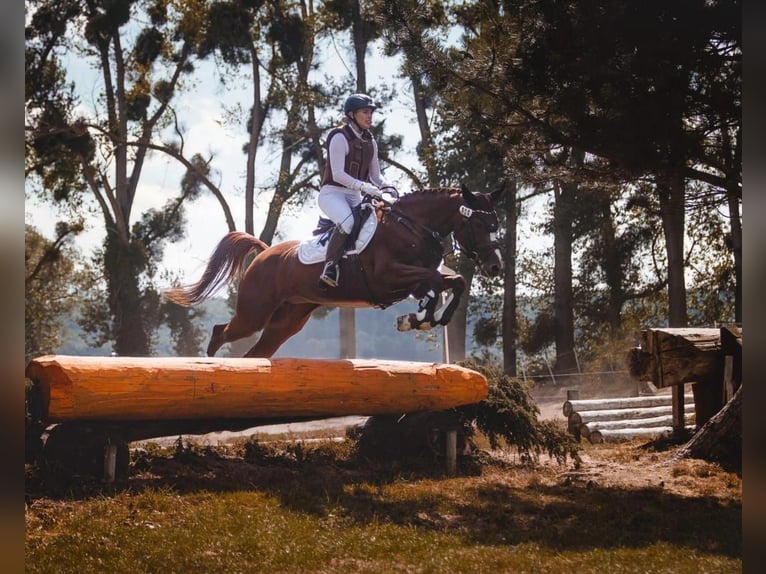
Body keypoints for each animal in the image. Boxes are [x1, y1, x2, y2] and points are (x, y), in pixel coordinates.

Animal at [164, 186, 504, 358]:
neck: (411, 226)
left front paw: (420, 318)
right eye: (478, 223)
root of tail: (264, 253)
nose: (496, 266)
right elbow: (437, 281)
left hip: (286, 322)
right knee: (221, 332)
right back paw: (208, 366)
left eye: (496, 223)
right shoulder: (388, 277)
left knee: (257, 353)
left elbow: (452, 282)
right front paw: (421, 318)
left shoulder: (410, 280)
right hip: (254, 314)